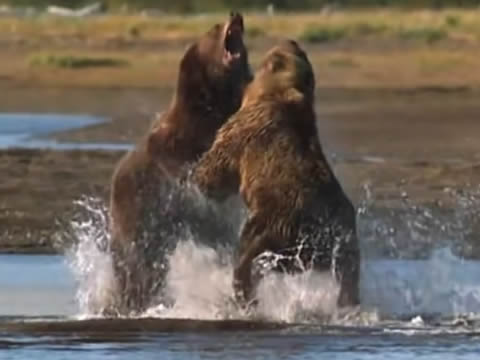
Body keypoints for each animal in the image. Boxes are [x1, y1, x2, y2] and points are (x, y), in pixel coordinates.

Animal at [191, 40, 360, 310]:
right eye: (301, 52)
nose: (293, 41)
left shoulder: (244, 131)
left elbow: (217, 168)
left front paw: (198, 175)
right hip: (344, 242)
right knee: (349, 276)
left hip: (274, 221)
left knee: (247, 252)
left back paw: (242, 294)